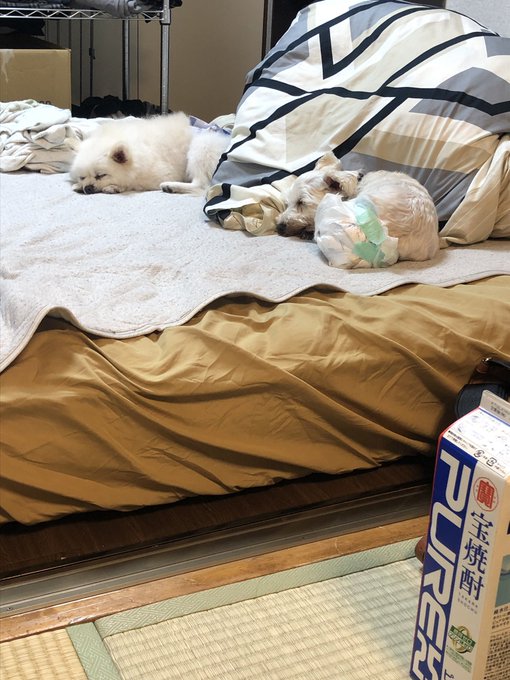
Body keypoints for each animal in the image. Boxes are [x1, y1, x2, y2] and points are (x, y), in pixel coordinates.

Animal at [70, 112, 229, 195]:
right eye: (82, 177)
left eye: (101, 176)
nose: (88, 188)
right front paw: (78, 185)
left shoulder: (160, 174)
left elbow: (132, 183)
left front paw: (114, 187)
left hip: (201, 146)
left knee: (201, 184)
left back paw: (171, 186)